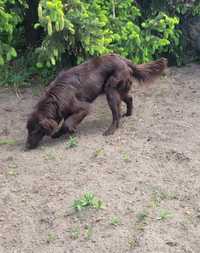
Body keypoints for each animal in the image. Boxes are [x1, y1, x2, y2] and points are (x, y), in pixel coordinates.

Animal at [25, 53, 166, 148]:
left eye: (35, 130)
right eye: (27, 130)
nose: (26, 146)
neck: (55, 100)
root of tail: (123, 59)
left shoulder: (83, 107)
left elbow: (67, 123)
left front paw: (66, 131)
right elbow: (66, 121)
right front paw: (59, 133)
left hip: (111, 91)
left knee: (116, 115)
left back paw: (110, 130)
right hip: (117, 90)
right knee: (129, 98)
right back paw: (128, 114)